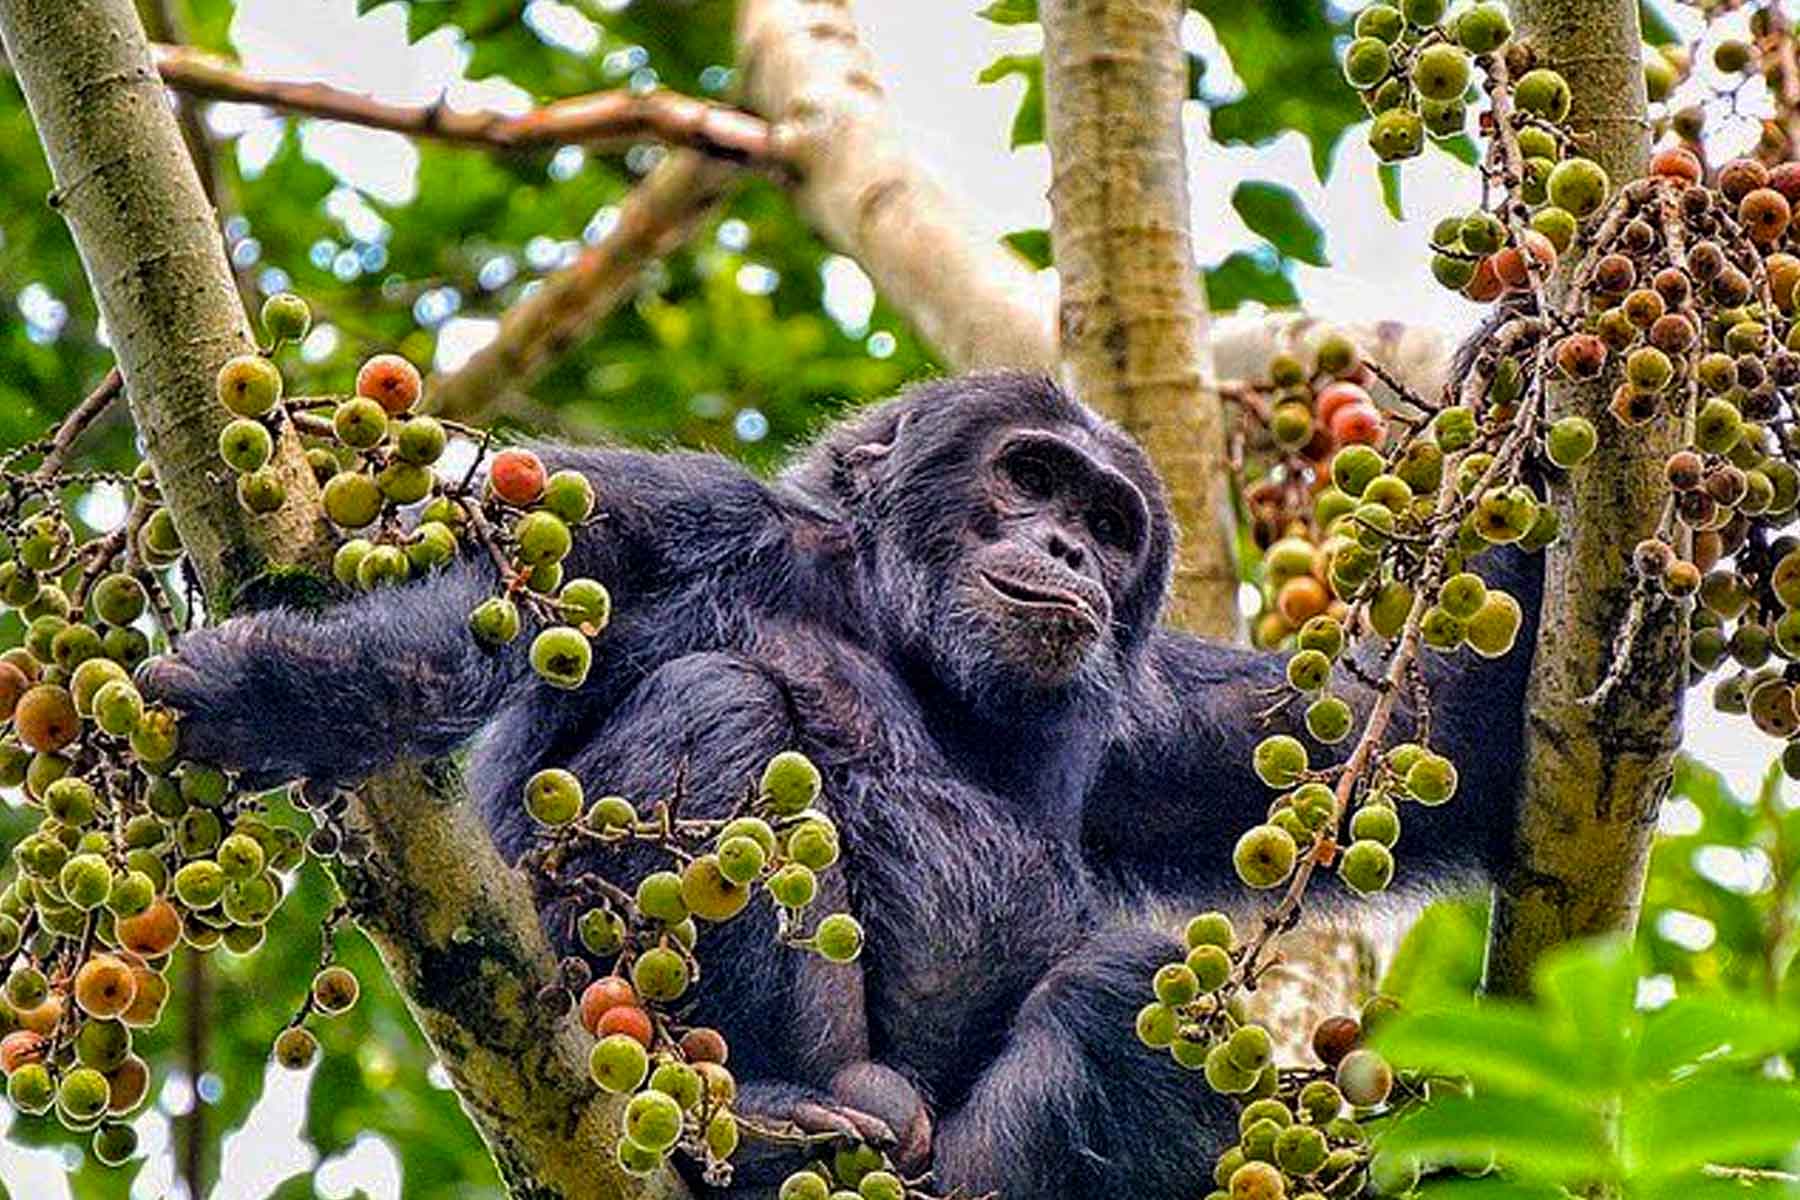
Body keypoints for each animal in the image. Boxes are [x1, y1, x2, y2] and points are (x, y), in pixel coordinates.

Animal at [142, 371, 1541, 1198]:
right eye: (1029, 476)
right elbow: (471, 623)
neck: (892, 621)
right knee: (721, 702)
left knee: (1137, 996)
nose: (1067, 547)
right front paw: (264, 690)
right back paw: (766, 1124)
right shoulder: (669, 518)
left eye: (1111, 521)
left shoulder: (1153, 721)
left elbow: (1395, 748)